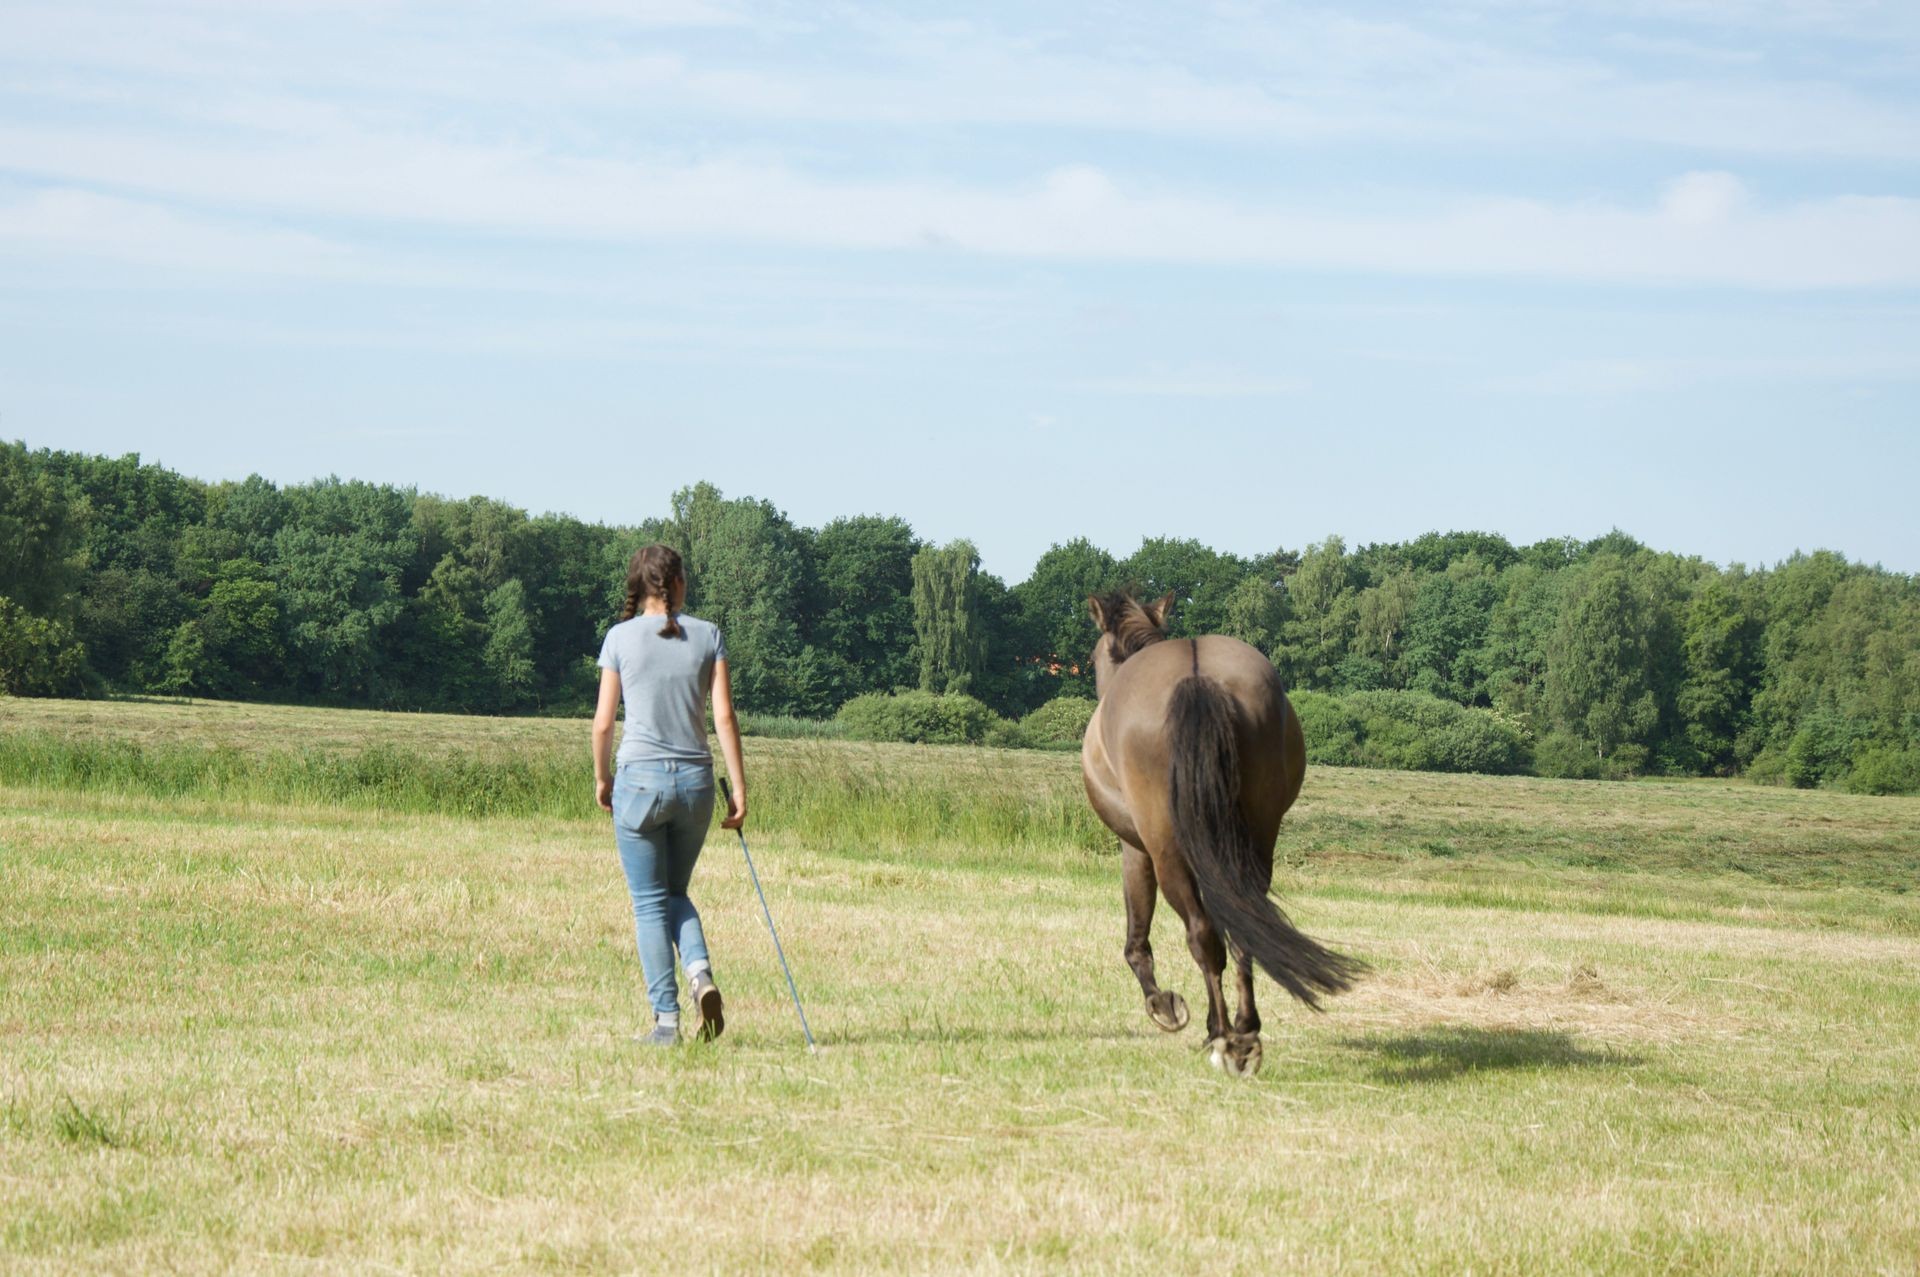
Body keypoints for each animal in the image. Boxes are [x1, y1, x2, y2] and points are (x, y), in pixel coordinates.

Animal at [1082, 591, 1367, 1067]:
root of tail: (1197, 676)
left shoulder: (1135, 848)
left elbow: (1137, 938)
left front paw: (1163, 1005)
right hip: (1255, 840)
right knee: (1245, 924)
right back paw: (1246, 1029)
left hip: (1168, 851)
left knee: (1202, 933)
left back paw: (1222, 1036)